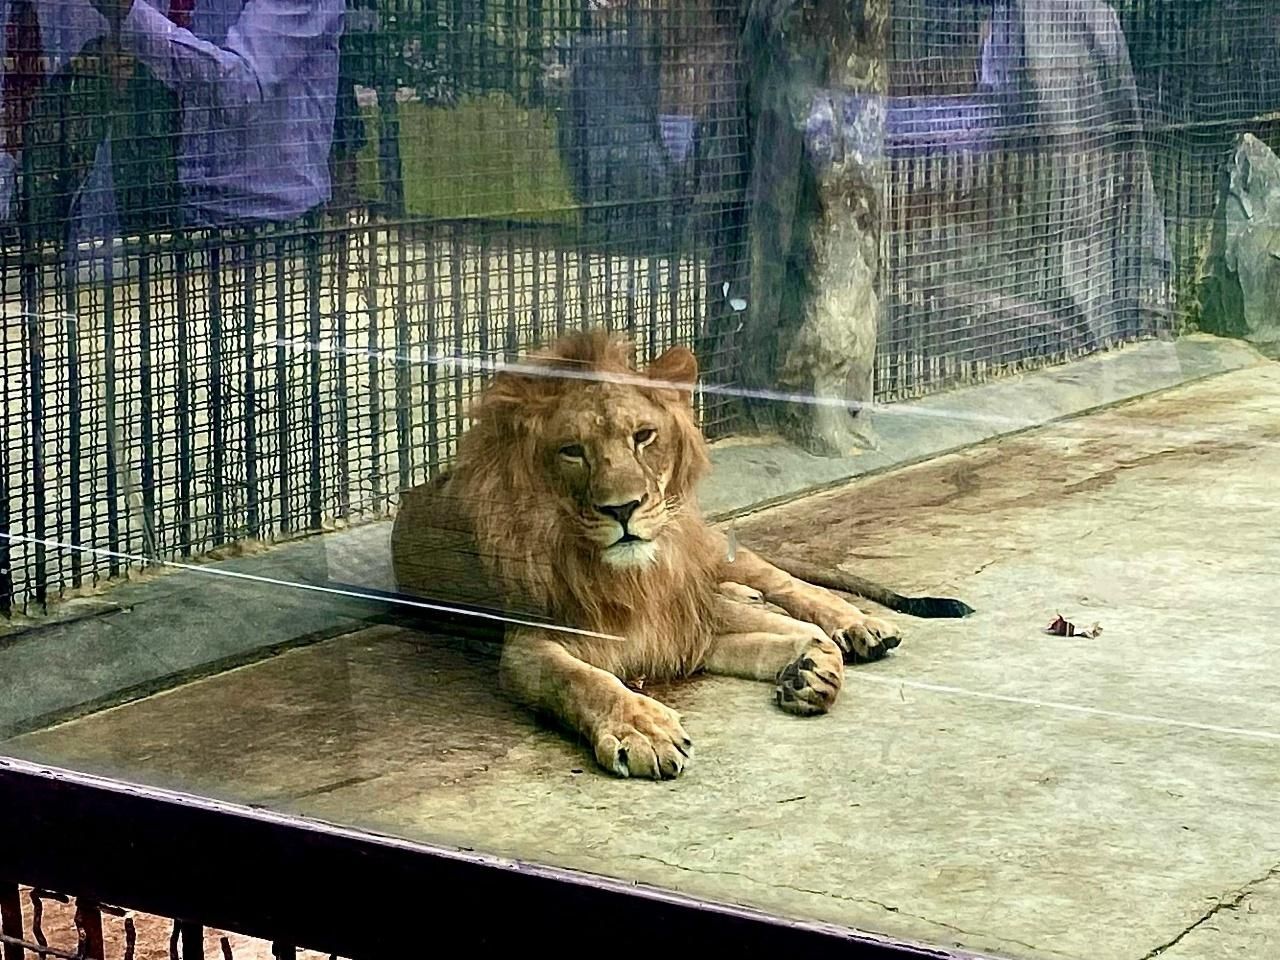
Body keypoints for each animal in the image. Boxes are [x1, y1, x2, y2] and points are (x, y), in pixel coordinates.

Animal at [391, 330, 972, 779]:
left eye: (643, 436)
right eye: (572, 451)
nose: (623, 508)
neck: (634, 577)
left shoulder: (686, 616)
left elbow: (803, 630)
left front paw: (814, 667)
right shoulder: (534, 645)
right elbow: (583, 680)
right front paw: (643, 729)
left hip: (714, 549)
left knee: (788, 585)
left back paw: (859, 624)